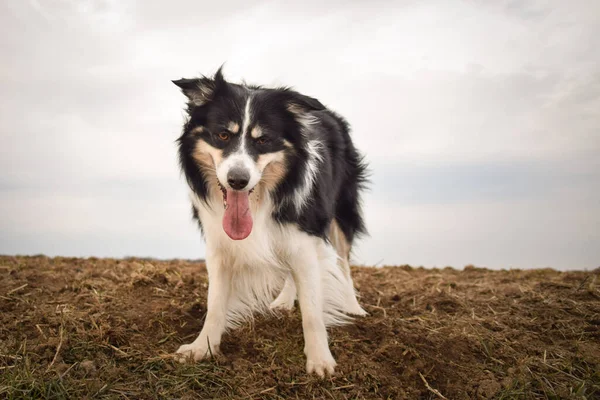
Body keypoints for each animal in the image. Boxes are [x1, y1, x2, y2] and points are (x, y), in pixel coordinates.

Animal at [172, 67, 370, 376]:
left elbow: (312, 309)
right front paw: (202, 347)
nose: (237, 181)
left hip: (341, 210)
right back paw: (284, 302)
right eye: (223, 135)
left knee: (343, 261)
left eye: (263, 140)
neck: (259, 200)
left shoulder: (304, 234)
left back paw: (353, 307)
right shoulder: (219, 244)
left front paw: (319, 360)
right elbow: (214, 302)